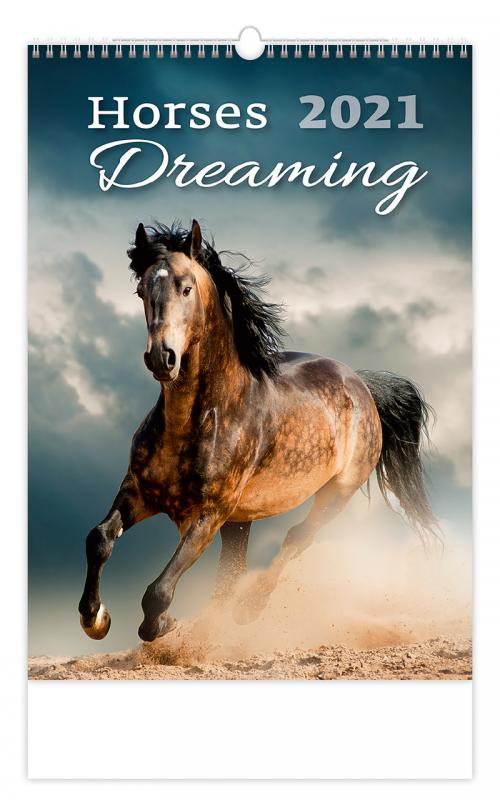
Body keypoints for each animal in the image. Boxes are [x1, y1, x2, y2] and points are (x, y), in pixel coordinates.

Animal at [78, 219, 439, 643]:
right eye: (141, 290)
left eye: (186, 288)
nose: (161, 358)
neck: (199, 420)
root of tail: (361, 384)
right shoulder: (138, 491)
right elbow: (99, 538)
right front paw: (95, 618)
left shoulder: (209, 514)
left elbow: (158, 591)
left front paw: (163, 624)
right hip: (241, 520)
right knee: (232, 572)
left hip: (336, 494)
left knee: (295, 539)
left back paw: (249, 609)